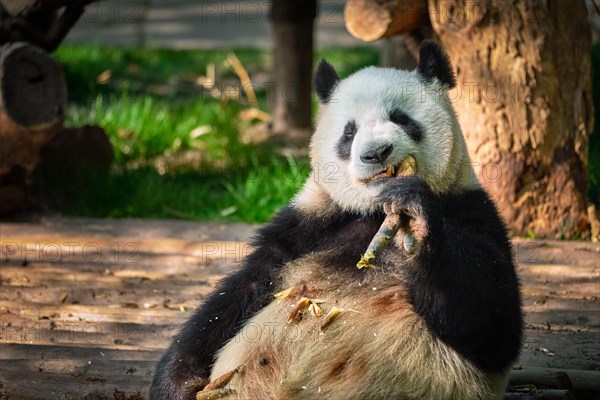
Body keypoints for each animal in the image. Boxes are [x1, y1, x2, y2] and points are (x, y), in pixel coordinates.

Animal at [149, 39, 520, 400]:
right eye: (349, 132)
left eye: (401, 118)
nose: (375, 153)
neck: (373, 211)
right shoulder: (309, 223)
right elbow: (238, 294)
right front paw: (176, 382)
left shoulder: (472, 212)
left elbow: (491, 324)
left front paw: (414, 214)